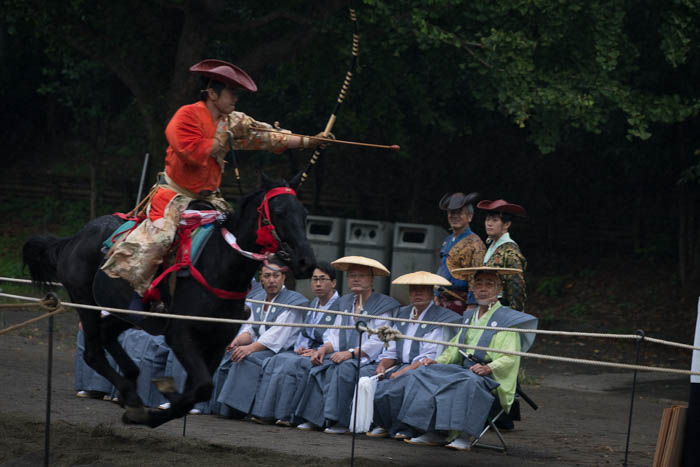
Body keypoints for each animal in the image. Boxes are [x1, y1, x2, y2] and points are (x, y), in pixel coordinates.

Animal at [21, 175, 316, 428]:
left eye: (304, 215)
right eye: (279, 212)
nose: (305, 261)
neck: (220, 267)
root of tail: (74, 238)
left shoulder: (218, 340)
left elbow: (198, 391)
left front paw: (163, 403)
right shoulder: (181, 335)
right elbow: (202, 387)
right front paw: (153, 412)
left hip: (128, 313)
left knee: (107, 335)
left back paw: (131, 385)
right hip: (86, 302)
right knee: (94, 352)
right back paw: (131, 396)